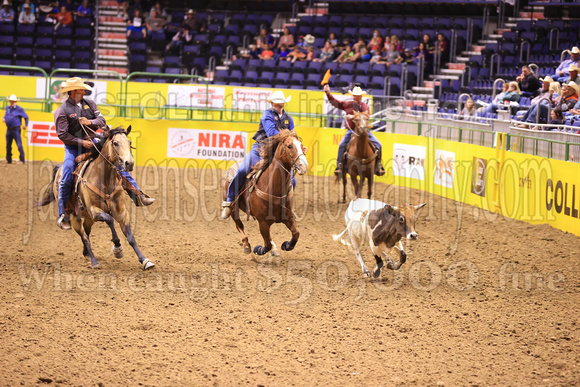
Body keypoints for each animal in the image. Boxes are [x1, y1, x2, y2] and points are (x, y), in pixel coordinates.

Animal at [37, 126, 155, 270]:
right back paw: (94, 261)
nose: (129, 163)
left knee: (86, 232)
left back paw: (86, 253)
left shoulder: (121, 212)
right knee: (84, 236)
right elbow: (109, 220)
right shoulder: (94, 211)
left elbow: (130, 237)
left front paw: (145, 260)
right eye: (115, 143)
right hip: (75, 218)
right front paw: (117, 248)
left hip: (88, 219)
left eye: (129, 142)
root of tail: (59, 170)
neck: (104, 179)